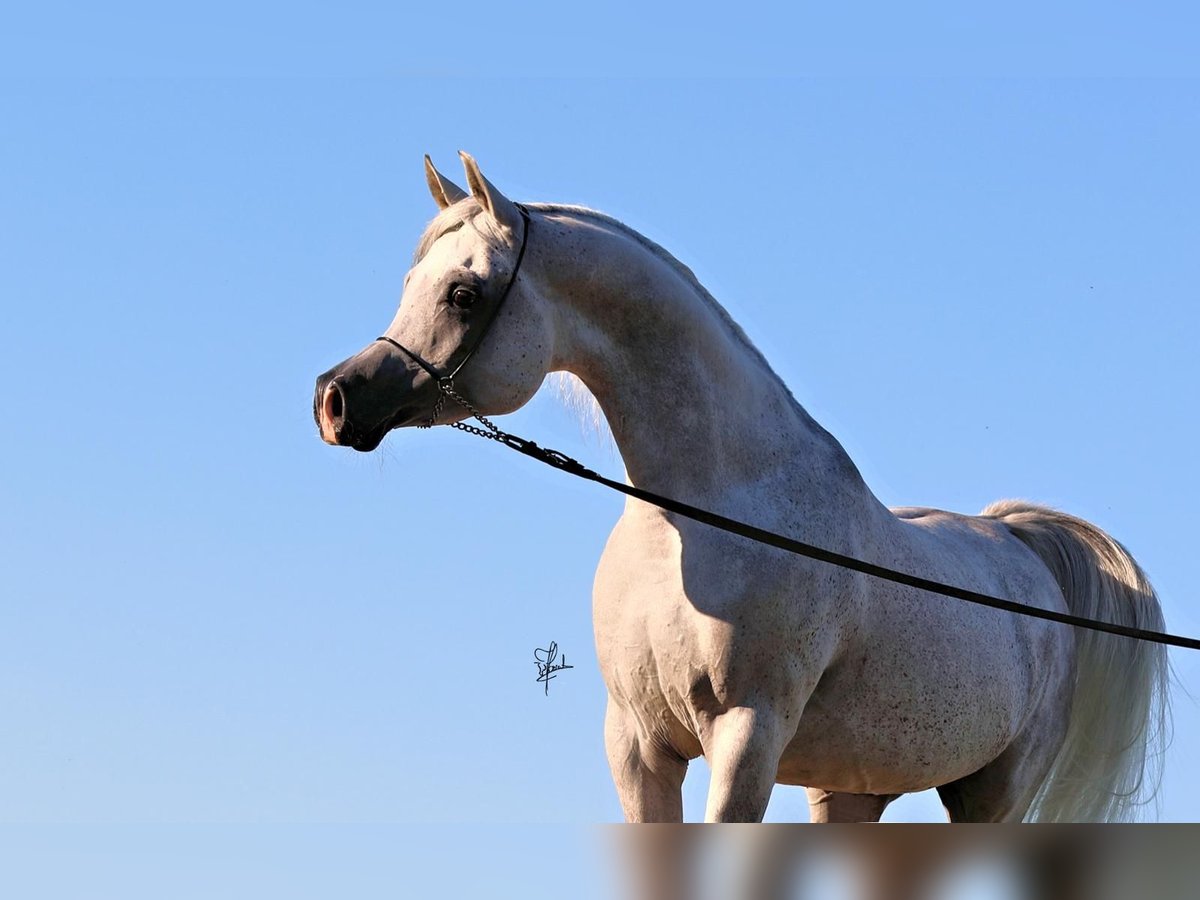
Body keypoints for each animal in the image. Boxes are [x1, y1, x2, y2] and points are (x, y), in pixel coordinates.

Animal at [314, 151, 1166, 820]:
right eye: (412, 280)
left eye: (464, 293)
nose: (336, 397)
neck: (698, 521)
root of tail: (1018, 544)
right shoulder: (638, 748)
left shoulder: (746, 737)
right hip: (852, 792)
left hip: (990, 792)